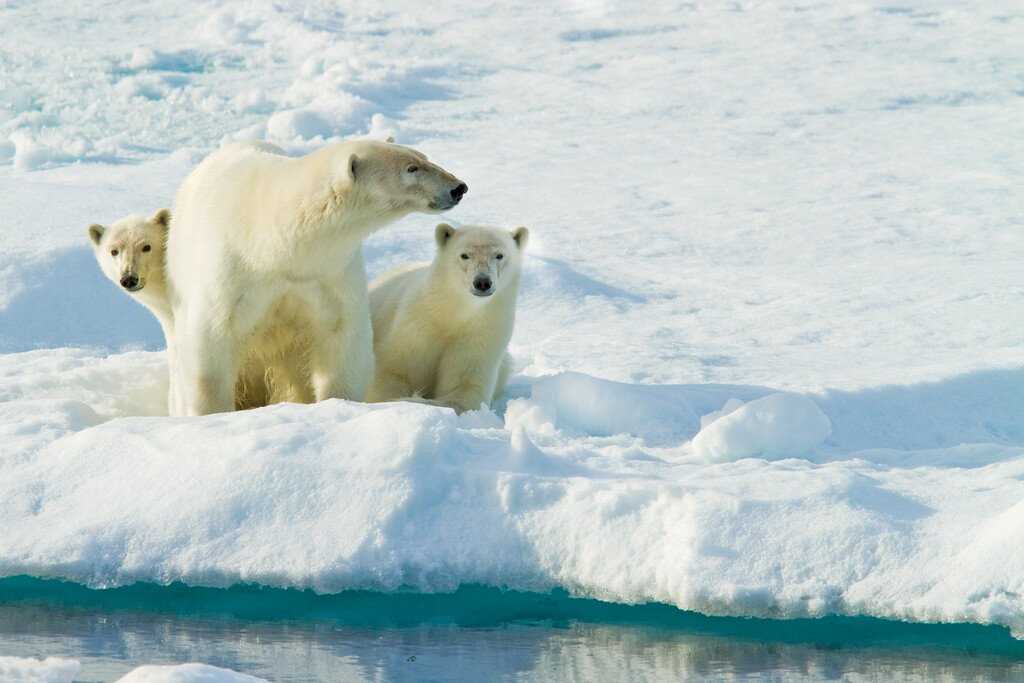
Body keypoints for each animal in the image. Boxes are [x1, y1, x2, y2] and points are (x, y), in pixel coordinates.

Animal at [168, 139, 468, 417]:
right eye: (411, 168)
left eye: (423, 157)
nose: (459, 187)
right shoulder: (234, 271)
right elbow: (214, 340)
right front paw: (212, 413)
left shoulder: (328, 273)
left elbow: (341, 336)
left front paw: (337, 403)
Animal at [368, 225, 528, 411]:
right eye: (464, 255)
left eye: (499, 255)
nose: (482, 282)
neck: (449, 312)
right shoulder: (415, 326)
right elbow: (393, 370)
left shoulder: (483, 330)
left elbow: (464, 387)